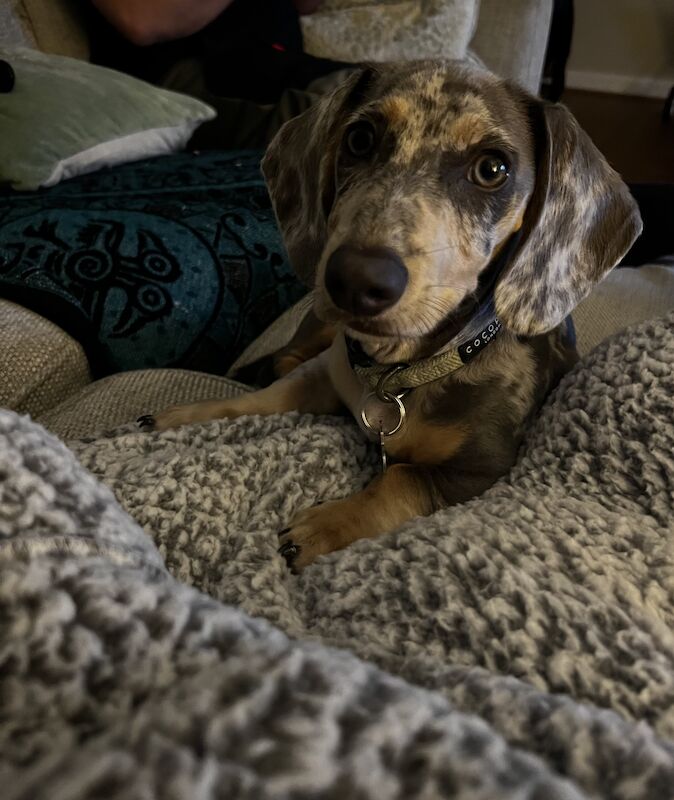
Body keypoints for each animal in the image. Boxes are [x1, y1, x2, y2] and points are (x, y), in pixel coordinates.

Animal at [140, 64, 636, 576]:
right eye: (359, 139)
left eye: (492, 169)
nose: (356, 279)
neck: (399, 372)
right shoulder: (326, 373)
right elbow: (266, 397)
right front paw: (187, 415)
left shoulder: (483, 471)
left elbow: (402, 480)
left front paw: (326, 525)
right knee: (292, 353)